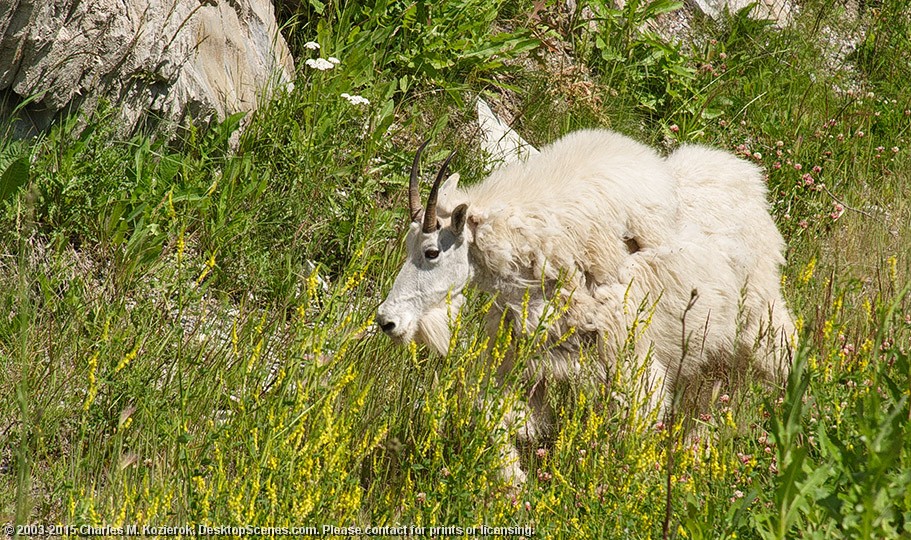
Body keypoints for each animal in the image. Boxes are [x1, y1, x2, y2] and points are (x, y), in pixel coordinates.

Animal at [374, 129, 796, 484]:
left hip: (758, 319)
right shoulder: (526, 363)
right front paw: (515, 488)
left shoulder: (630, 364)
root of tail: (746, 178)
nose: (387, 321)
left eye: (431, 251)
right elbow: (494, 417)